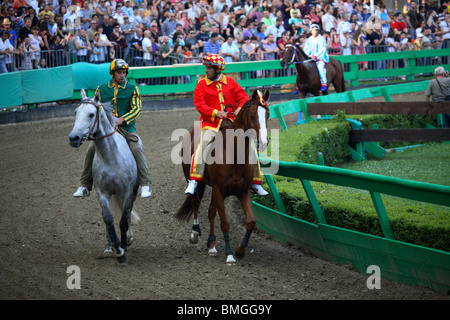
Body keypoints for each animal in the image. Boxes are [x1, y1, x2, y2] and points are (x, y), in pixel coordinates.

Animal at [67, 89, 139, 264]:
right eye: (76, 112)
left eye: (91, 114)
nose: (73, 138)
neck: (111, 158)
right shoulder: (102, 193)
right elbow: (107, 219)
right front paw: (118, 250)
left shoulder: (127, 193)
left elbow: (123, 221)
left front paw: (124, 248)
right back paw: (109, 247)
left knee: (127, 214)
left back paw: (127, 239)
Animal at [174, 89, 268, 264]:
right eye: (252, 114)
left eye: (267, 114)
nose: (263, 142)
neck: (234, 156)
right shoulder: (218, 190)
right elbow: (225, 223)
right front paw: (230, 255)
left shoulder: (243, 191)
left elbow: (250, 222)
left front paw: (240, 250)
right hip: (193, 180)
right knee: (195, 202)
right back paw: (195, 233)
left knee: (211, 212)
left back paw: (212, 245)